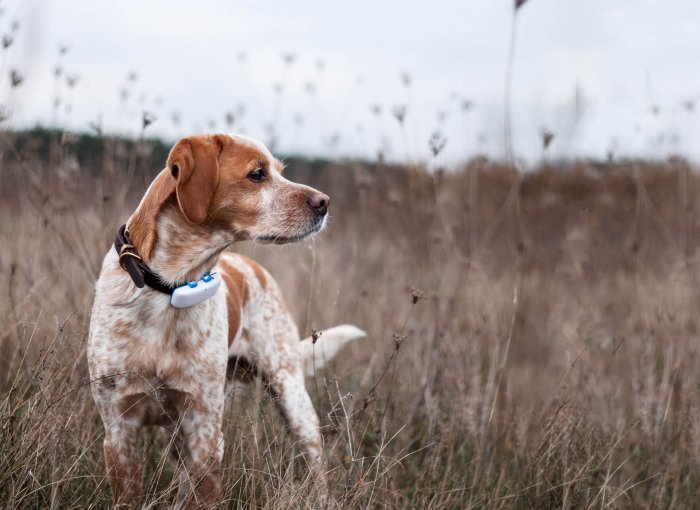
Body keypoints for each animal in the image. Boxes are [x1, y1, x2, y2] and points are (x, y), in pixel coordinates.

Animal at [87, 133, 366, 508]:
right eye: (257, 174)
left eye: (280, 172)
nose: (324, 202)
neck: (170, 288)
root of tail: (255, 268)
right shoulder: (119, 429)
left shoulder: (205, 431)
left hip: (291, 395)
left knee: (315, 463)